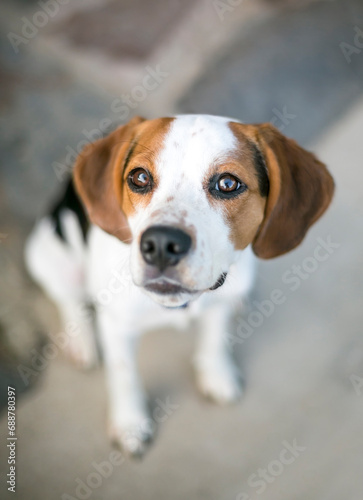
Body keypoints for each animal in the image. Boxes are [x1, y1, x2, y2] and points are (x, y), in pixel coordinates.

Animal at [26, 114, 336, 458]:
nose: (161, 244)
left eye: (228, 184)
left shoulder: (218, 304)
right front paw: (130, 423)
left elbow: (214, 339)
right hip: (48, 256)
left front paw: (216, 373)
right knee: (69, 300)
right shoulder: (117, 327)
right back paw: (81, 341)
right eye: (139, 177)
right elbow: (123, 375)